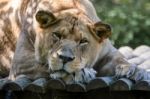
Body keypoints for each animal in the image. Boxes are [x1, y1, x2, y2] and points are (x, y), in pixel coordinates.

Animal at [0, 0, 149, 84]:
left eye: (83, 41)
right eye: (57, 35)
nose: (65, 58)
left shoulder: (107, 52)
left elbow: (120, 59)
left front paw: (136, 70)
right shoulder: (20, 63)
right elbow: (46, 66)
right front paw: (82, 73)